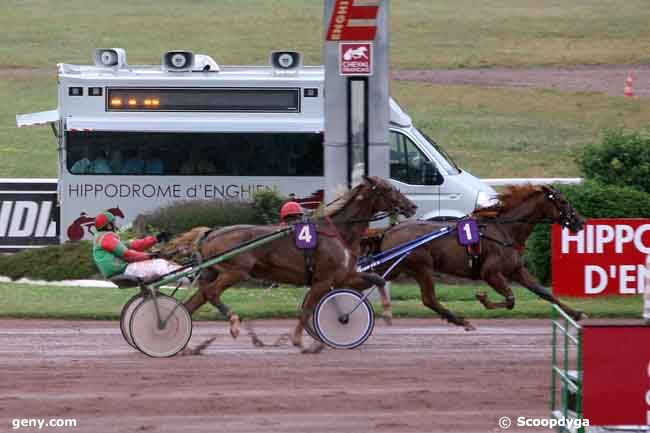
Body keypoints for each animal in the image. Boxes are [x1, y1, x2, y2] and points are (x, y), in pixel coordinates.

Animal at [182, 176, 416, 348]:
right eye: (388, 189)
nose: (412, 206)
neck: (339, 232)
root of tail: (211, 233)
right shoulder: (323, 280)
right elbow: (306, 311)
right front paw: (298, 339)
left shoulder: (343, 276)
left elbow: (378, 279)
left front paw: (386, 312)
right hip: (236, 271)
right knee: (211, 293)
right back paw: (233, 323)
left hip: (215, 272)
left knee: (195, 300)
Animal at [362, 184, 584, 330]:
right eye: (563, 201)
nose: (580, 222)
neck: (505, 230)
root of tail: (389, 231)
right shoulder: (490, 272)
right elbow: (510, 299)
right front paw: (483, 298)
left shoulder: (515, 269)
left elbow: (543, 292)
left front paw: (576, 313)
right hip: (421, 265)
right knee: (429, 299)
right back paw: (461, 321)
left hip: (395, 267)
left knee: (372, 279)